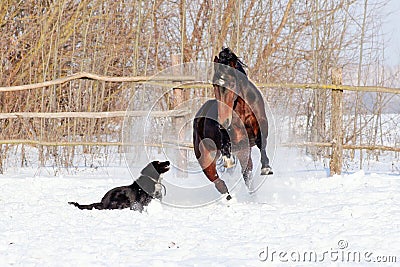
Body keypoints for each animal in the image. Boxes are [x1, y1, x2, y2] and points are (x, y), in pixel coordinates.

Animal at [193, 47, 274, 199]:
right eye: (214, 84)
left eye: (232, 84)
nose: (222, 122)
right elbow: (227, 142)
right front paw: (228, 159)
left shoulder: (259, 132)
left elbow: (261, 143)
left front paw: (266, 168)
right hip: (205, 159)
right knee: (219, 183)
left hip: (243, 153)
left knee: (246, 176)